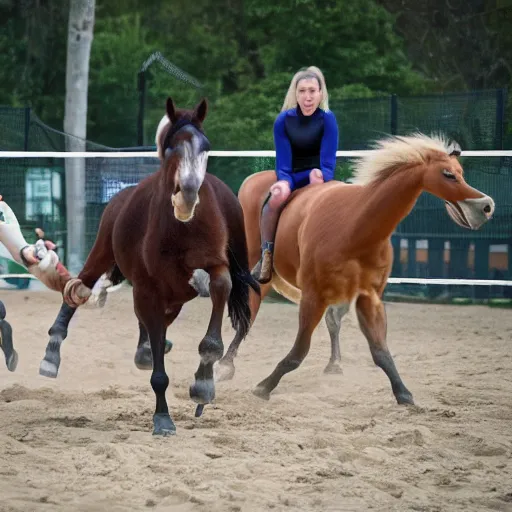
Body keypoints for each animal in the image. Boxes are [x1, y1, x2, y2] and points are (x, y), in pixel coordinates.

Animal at [38, 97, 260, 436]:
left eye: (205, 147)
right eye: (170, 149)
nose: (188, 194)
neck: (181, 228)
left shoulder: (216, 266)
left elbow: (219, 292)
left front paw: (203, 383)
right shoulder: (148, 288)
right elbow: (158, 371)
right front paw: (163, 417)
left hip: (172, 297)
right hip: (103, 251)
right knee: (79, 288)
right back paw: (52, 352)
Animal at [214, 134, 494, 406]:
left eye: (461, 172)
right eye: (448, 174)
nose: (486, 206)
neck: (355, 226)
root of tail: (252, 181)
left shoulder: (368, 297)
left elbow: (380, 351)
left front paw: (403, 394)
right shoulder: (313, 296)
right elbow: (299, 351)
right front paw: (265, 386)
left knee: (331, 320)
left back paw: (333, 364)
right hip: (258, 272)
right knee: (250, 309)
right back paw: (225, 365)